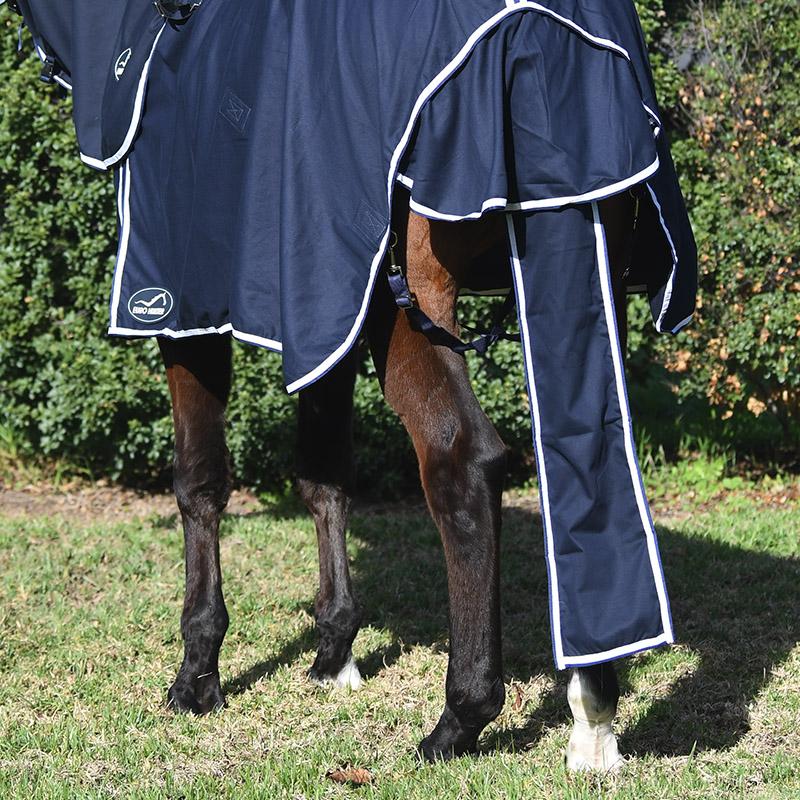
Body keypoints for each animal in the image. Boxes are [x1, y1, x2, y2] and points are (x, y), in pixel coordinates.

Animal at [158, 186, 635, 769]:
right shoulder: (324, 308)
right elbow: (324, 479)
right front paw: (335, 652)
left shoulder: (187, 296)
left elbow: (198, 483)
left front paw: (197, 676)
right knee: (592, 456)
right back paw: (593, 719)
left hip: (407, 303)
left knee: (465, 461)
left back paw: (459, 721)